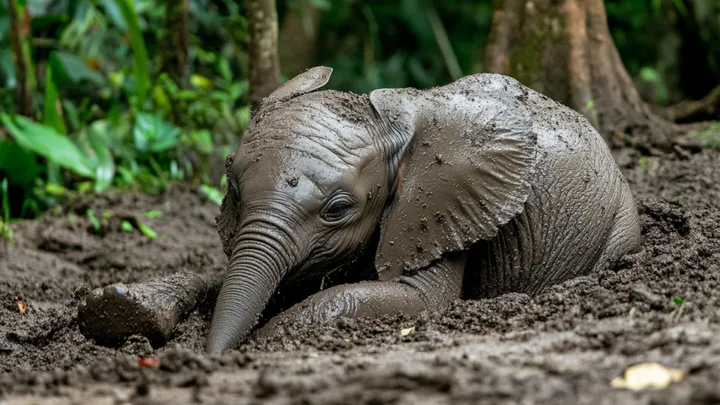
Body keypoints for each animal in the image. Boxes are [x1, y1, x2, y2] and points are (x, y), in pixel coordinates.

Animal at [77, 67, 641, 355]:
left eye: (339, 209)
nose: (209, 357)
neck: (390, 120)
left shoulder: (443, 206)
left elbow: (419, 300)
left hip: (621, 219)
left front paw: (266, 340)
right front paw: (116, 309)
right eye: (232, 188)